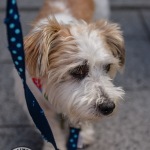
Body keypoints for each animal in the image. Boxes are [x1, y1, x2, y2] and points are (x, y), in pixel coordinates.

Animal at [13, 0, 125, 149]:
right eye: (78, 70)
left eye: (107, 67)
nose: (108, 107)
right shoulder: (37, 106)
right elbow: (52, 131)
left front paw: (84, 134)